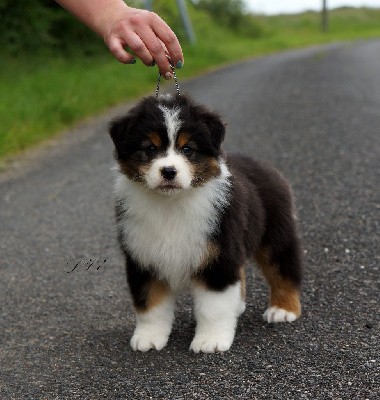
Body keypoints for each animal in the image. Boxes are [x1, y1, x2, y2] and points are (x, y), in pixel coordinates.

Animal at [108, 94, 302, 354]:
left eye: (187, 149)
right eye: (149, 149)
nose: (168, 171)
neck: (171, 204)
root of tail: (264, 166)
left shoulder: (217, 255)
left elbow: (213, 307)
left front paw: (210, 341)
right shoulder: (142, 257)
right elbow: (149, 303)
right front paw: (148, 337)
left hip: (275, 232)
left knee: (283, 267)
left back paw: (284, 309)